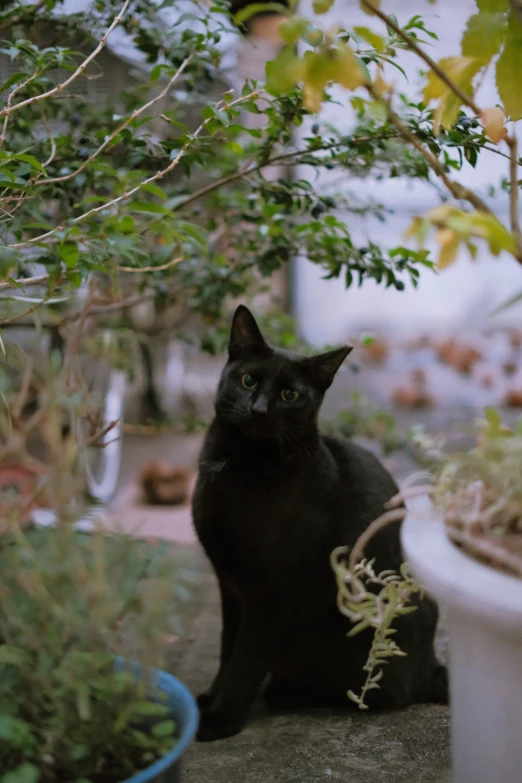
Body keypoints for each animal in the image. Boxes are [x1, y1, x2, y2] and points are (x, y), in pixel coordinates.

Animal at [192, 304, 446, 740]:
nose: (259, 409)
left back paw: (284, 693)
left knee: (378, 694)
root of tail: (431, 669)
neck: (240, 464)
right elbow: (227, 650)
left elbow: (245, 659)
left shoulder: (271, 595)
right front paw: (210, 697)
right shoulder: (230, 587)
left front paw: (221, 718)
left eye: (289, 395)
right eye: (247, 380)